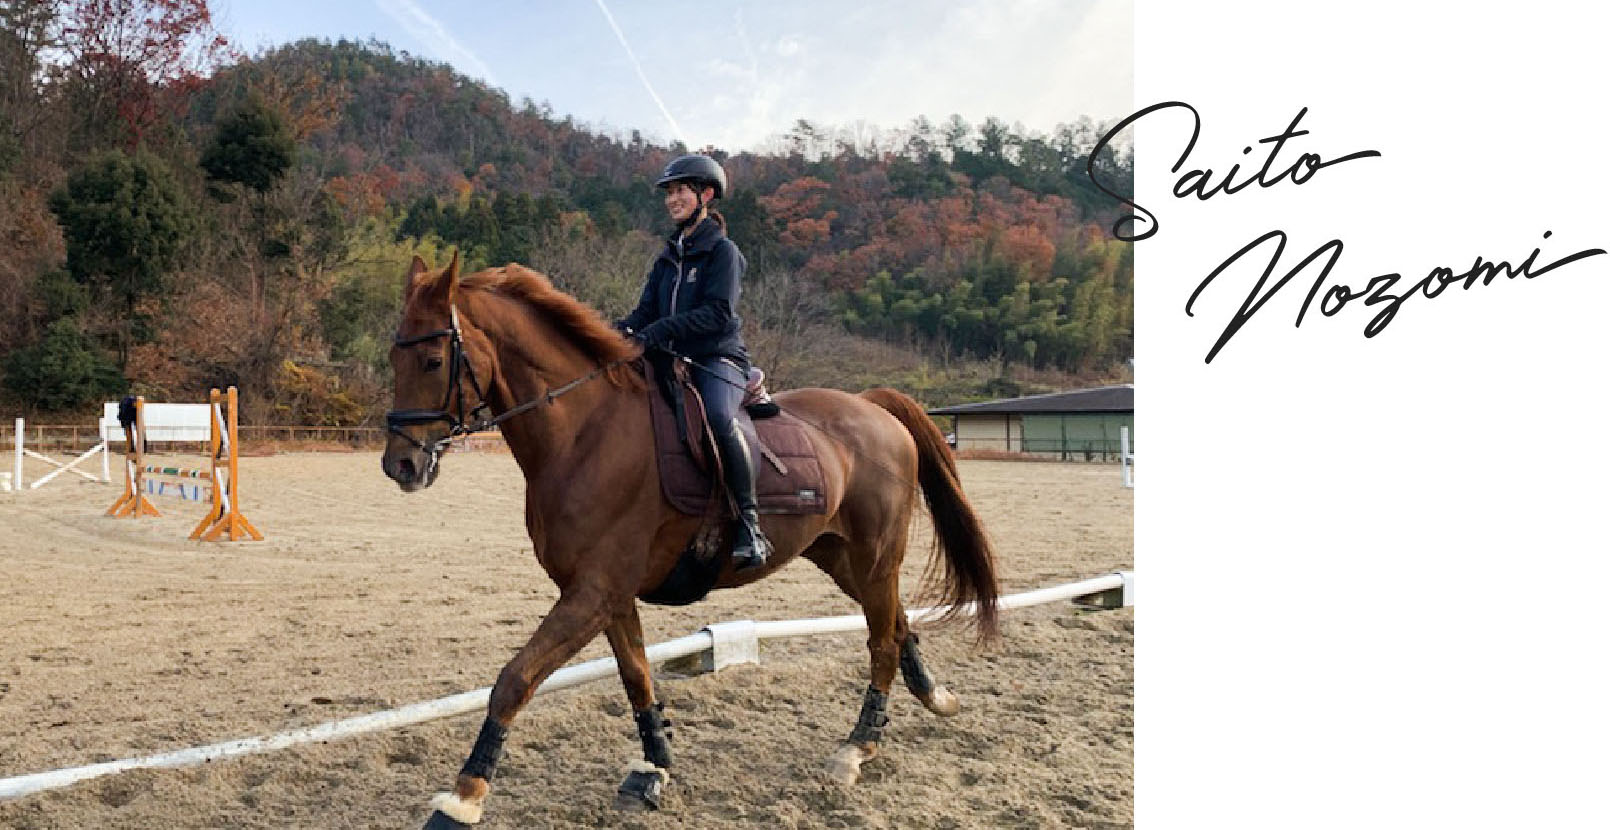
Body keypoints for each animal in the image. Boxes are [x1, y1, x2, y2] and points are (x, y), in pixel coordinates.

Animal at [383, 254, 998, 830]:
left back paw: (856, 747)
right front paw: (653, 769)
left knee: (881, 640)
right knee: (896, 622)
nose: (400, 466)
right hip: (838, 555)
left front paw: (462, 798)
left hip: (874, 556)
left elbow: (514, 680)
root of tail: (870, 404)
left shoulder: (592, 592)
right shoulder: (609, 595)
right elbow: (636, 676)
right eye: (393, 358)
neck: (585, 433)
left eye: (433, 361)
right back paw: (932, 699)